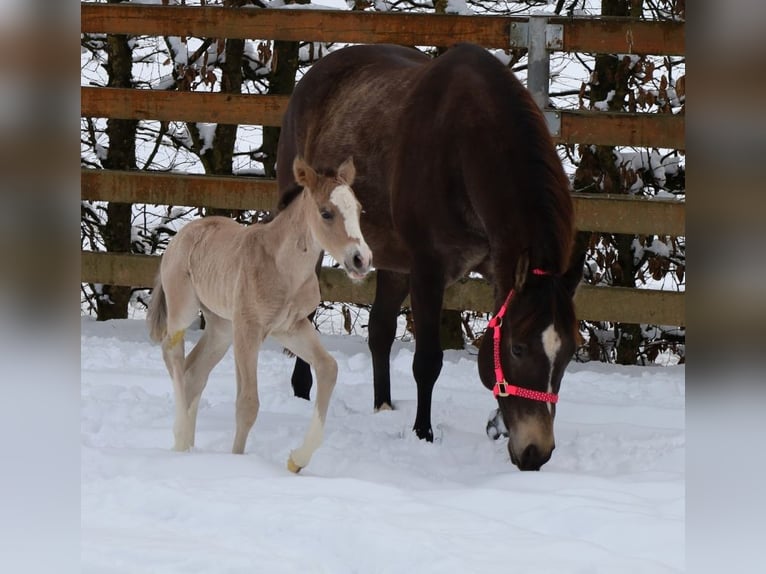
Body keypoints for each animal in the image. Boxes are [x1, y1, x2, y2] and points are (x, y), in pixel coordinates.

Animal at [146, 156, 372, 473]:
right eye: (326, 213)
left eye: (359, 210)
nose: (361, 260)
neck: (284, 269)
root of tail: (180, 236)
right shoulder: (248, 328)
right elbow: (248, 403)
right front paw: (239, 464)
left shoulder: (290, 327)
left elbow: (329, 368)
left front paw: (296, 460)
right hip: (185, 308)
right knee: (173, 352)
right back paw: (180, 437)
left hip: (221, 328)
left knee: (194, 372)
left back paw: (188, 447)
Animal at [277, 43, 583, 471]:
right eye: (519, 348)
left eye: (570, 351)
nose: (535, 453)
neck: (465, 151)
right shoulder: (428, 269)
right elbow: (427, 361)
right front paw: (423, 433)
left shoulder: (497, 269)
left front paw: (497, 423)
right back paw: (303, 388)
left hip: (390, 260)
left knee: (380, 329)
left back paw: (383, 407)